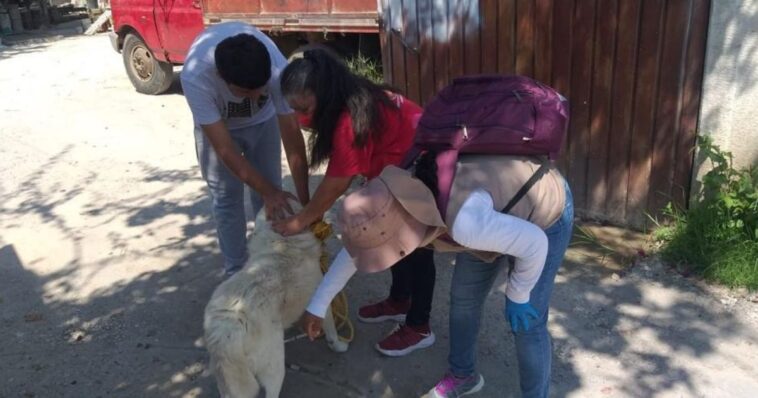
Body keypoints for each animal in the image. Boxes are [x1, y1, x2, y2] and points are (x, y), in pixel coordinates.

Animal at [203, 205, 348, 398]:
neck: (281, 243)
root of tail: (226, 331)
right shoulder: (321, 300)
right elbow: (331, 328)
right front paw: (337, 345)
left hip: (229, 381)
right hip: (274, 366)